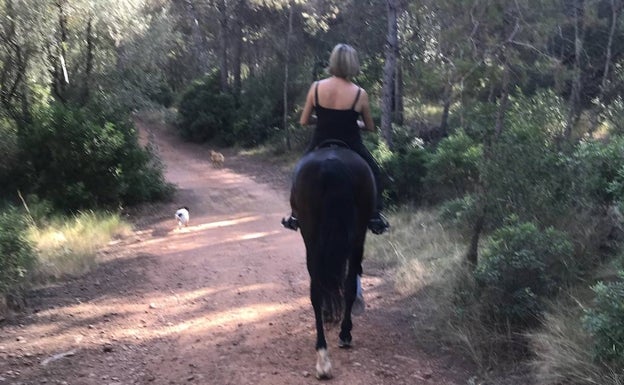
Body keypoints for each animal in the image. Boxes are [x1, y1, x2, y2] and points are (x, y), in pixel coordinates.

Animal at [288, 142, 376, 378]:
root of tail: (332, 164)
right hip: (356, 235)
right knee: (346, 283)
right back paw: (342, 337)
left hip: (312, 238)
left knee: (317, 291)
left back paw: (323, 356)